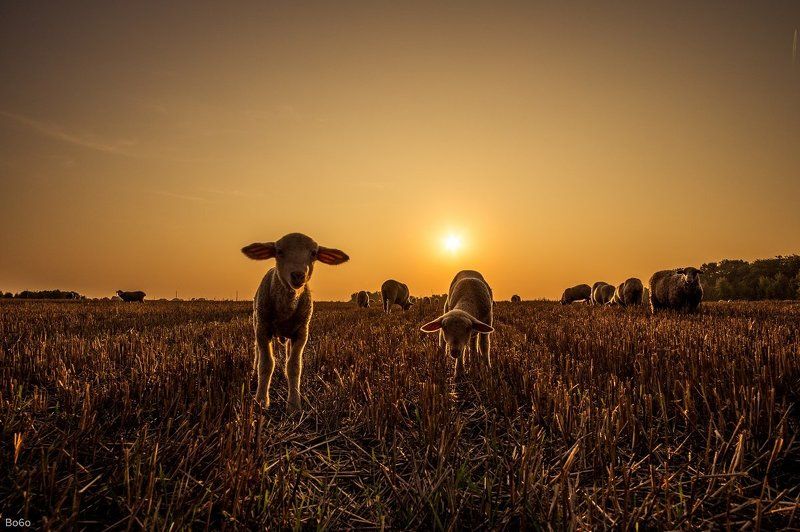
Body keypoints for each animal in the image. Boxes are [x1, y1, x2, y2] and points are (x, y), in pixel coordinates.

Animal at [242, 232, 349, 411]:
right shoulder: (263, 329)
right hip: (257, 322)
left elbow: (294, 366)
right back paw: (253, 374)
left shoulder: (301, 333)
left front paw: (293, 404)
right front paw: (261, 400)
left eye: (314, 253)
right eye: (279, 251)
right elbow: (266, 364)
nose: (298, 275)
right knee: (257, 351)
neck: (286, 308)